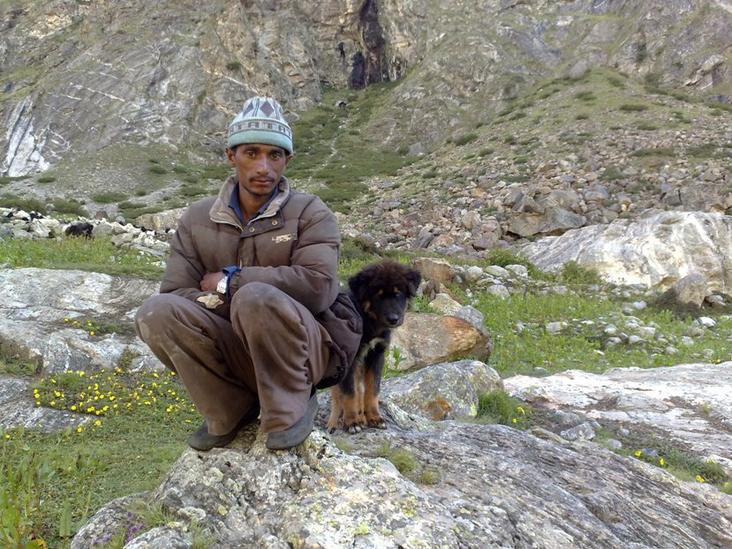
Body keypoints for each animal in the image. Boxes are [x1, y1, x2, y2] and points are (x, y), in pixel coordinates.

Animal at [328, 260, 420, 432]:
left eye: (398, 294)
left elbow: (372, 390)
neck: (367, 321)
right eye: (379, 295)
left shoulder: (377, 354)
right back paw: (336, 421)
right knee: (338, 395)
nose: (393, 319)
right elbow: (349, 392)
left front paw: (374, 417)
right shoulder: (349, 359)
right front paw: (352, 422)